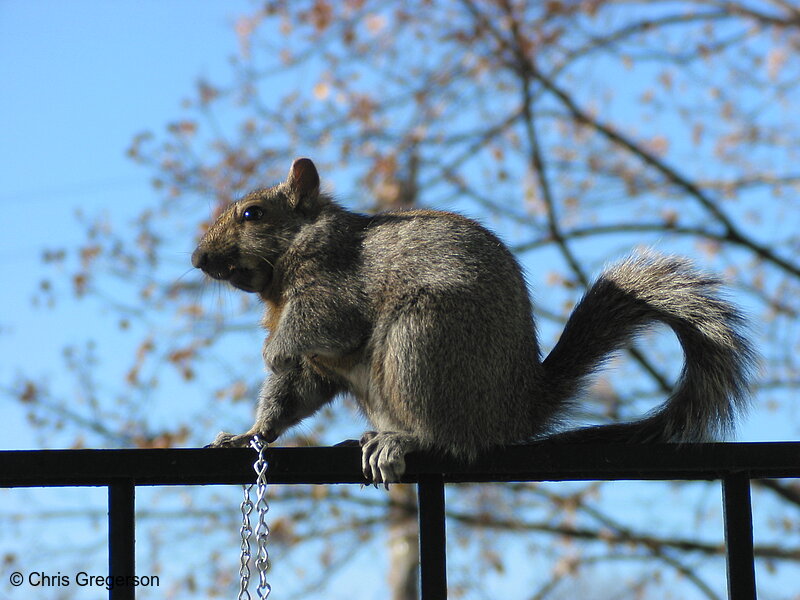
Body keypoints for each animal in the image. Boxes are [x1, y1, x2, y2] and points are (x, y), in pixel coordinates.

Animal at [192, 158, 756, 482]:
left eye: (253, 214)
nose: (198, 259)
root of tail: (514, 413)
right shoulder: (315, 366)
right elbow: (290, 397)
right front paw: (248, 435)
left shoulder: (335, 289)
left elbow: (322, 324)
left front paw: (271, 352)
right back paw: (370, 438)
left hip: (422, 339)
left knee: (451, 438)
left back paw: (404, 440)